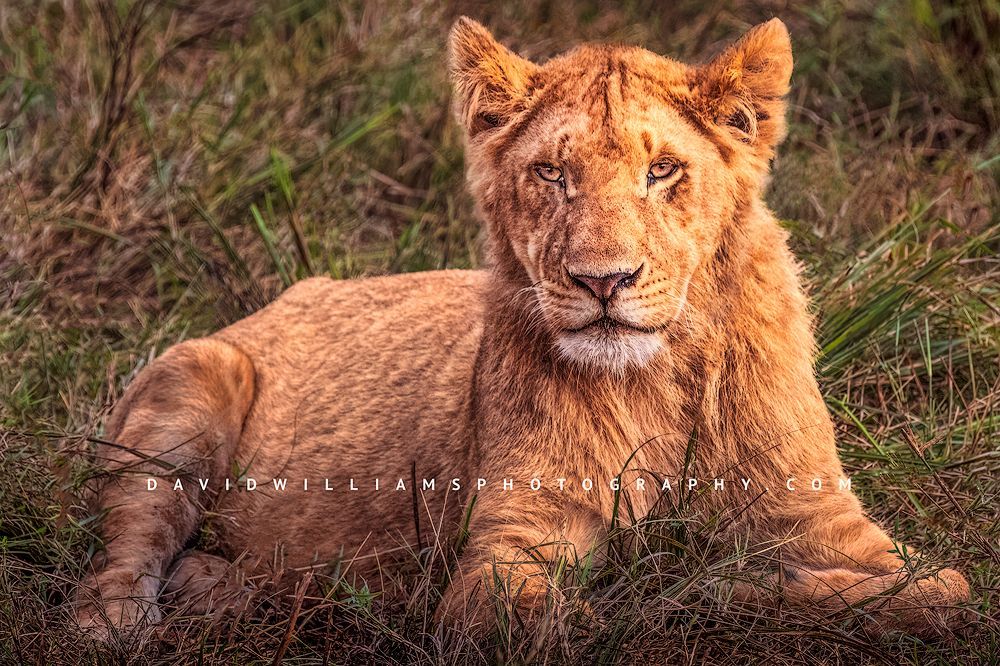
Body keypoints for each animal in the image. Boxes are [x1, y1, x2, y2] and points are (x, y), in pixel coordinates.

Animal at [77, 17, 970, 639]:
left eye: (662, 170)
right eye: (551, 173)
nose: (603, 281)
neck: (655, 379)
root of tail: (278, 300)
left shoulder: (824, 519)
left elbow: (941, 593)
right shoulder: (510, 551)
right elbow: (613, 610)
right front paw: (709, 579)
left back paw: (227, 588)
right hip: (193, 378)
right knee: (122, 549)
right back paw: (125, 622)